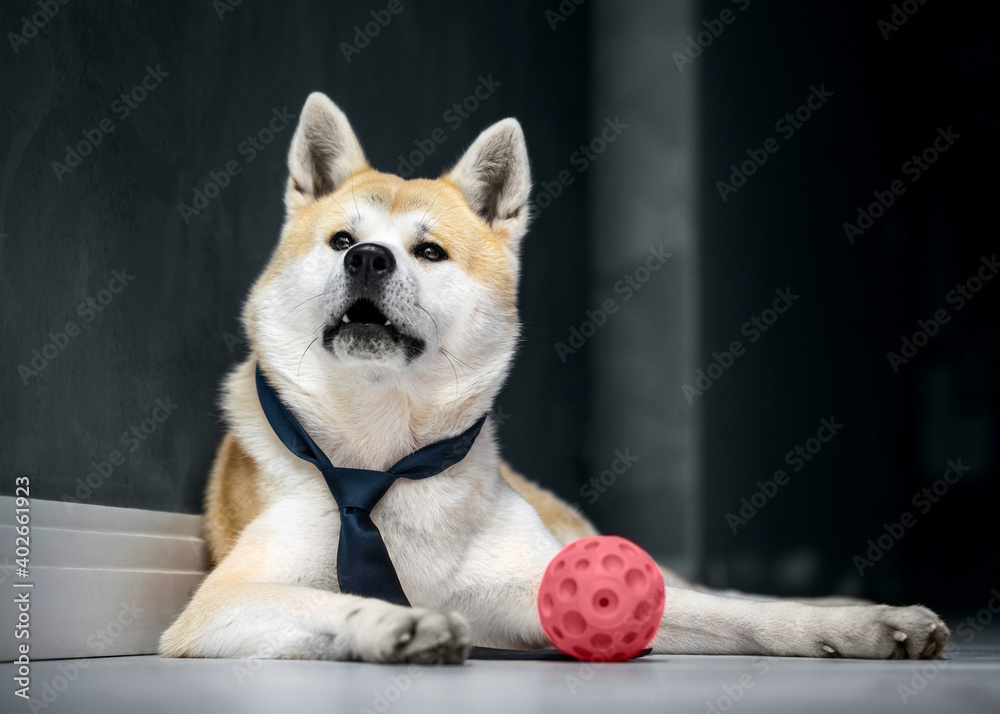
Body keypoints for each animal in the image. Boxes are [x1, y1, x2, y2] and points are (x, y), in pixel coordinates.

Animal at [160, 92, 948, 660]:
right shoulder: (221, 604)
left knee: (728, 594)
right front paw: (392, 623)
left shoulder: (538, 584)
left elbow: (731, 614)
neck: (386, 458)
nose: (368, 260)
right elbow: (338, 599)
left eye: (431, 251)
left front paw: (851, 629)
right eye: (341, 240)